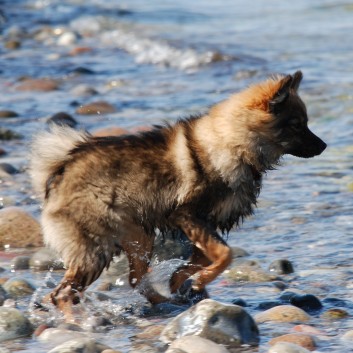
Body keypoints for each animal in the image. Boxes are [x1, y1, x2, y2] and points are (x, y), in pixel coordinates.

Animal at [30, 71, 328, 316]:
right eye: (297, 124)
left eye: (305, 123)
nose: (324, 146)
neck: (234, 142)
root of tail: (61, 168)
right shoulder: (186, 215)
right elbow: (225, 255)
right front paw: (200, 280)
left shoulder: (206, 224)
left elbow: (204, 259)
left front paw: (180, 279)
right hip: (97, 249)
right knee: (62, 294)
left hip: (140, 238)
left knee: (134, 280)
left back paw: (164, 302)